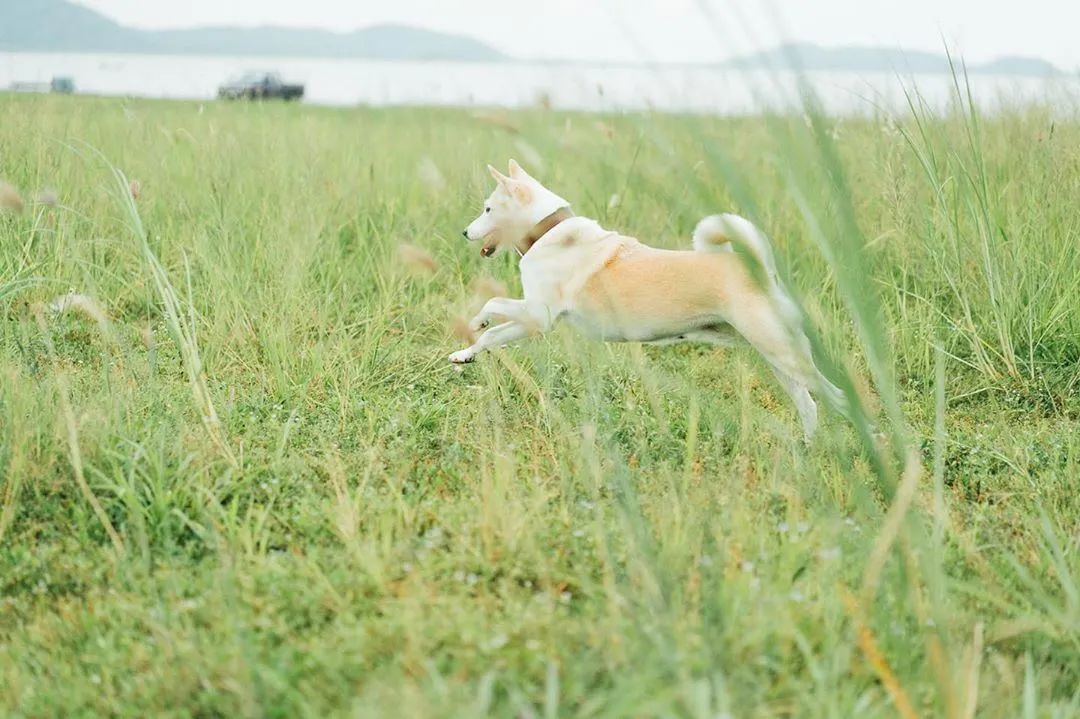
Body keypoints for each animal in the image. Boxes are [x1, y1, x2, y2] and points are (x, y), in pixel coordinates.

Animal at [451, 158, 846, 436]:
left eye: (488, 208)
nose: (465, 232)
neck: (549, 231)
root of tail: (761, 270)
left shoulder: (538, 313)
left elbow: (492, 306)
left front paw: (475, 322)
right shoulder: (532, 322)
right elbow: (492, 336)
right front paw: (465, 354)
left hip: (787, 355)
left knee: (836, 398)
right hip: (776, 359)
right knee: (809, 406)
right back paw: (805, 454)